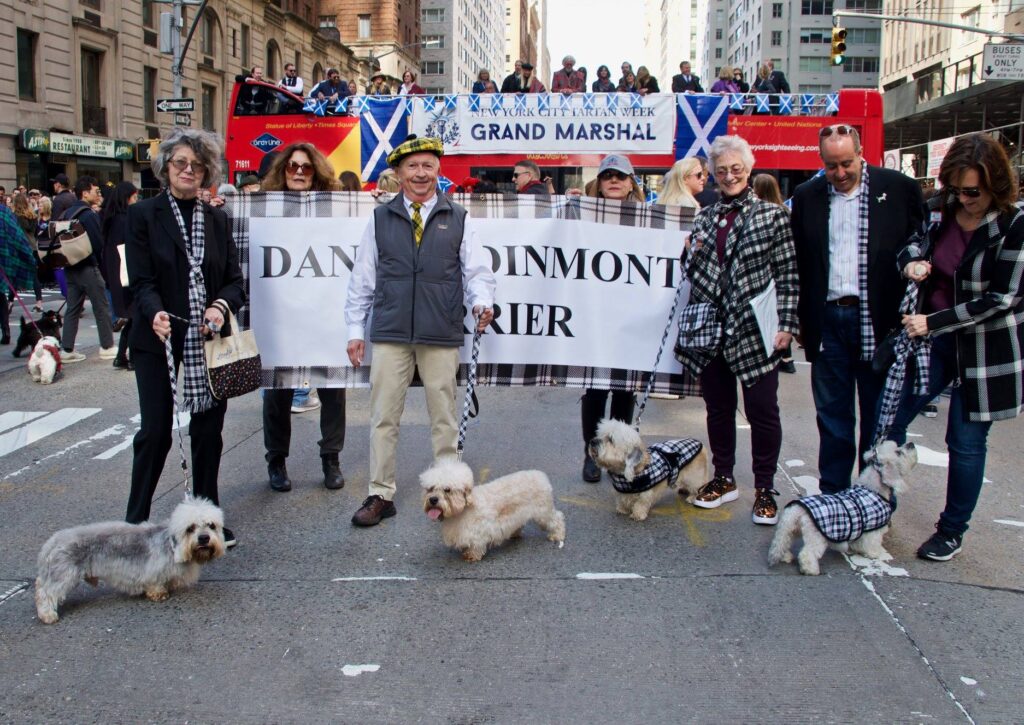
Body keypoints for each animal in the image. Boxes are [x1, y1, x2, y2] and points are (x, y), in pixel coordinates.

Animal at [35, 497, 225, 622]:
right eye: (190, 528)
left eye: (211, 525)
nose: (204, 538)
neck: (171, 546)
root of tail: (52, 542)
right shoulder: (153, 571)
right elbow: (155, 585)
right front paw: (159, 594)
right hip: (65, 575)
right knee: (44, 592)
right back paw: (47, 615)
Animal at [423, 458, 569, 561]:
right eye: (430, 488)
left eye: (447, 489)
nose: (433, 500)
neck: (463, 509)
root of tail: (541, 475)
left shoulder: (478, 532)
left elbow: (476, 545)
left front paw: (471, 555)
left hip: (543, 512)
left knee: (557, 518)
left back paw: (557, 535)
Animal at [770, 438, 921, 573]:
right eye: (898, 452)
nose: (911, 444)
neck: (872, 488)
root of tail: (798, 509)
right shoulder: (873, 530)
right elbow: (871, 544)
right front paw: (873, 553)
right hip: (816, 537)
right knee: (806, 554)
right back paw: (811, 570)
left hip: (789, 530)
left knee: (784, 543)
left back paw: (786, 557)